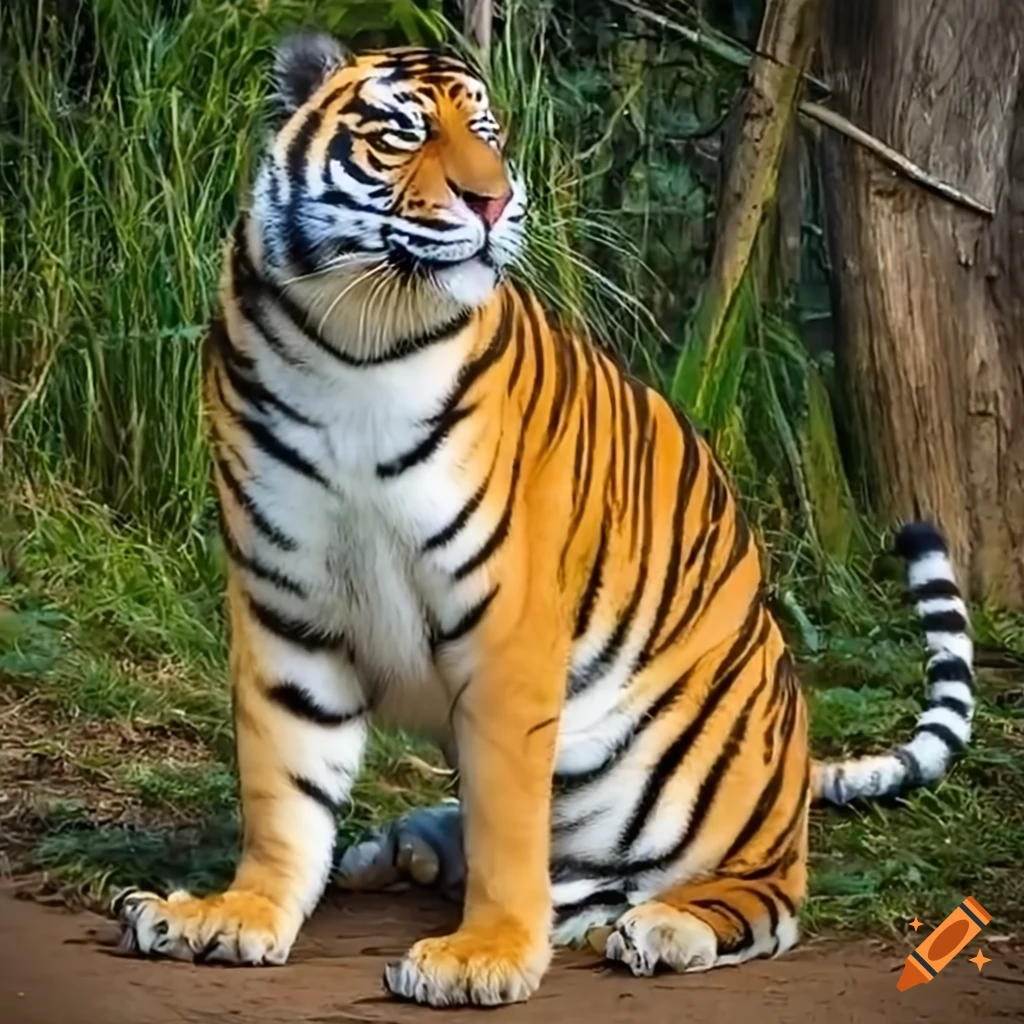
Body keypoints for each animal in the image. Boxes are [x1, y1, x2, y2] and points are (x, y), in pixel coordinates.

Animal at [114, 32, 976, 1007]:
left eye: (487, 135)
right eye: (405, 133)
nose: (492, 198)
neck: (359, 340)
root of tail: (796, 766)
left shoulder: (507, 621)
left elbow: (507, 817)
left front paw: (483, 953)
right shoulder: (282, 595)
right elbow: (282, 779)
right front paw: (237, 914)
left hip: (709, 778)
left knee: (756, 898)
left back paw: (655, 926)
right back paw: (404, 848)